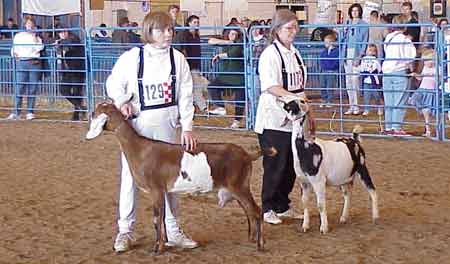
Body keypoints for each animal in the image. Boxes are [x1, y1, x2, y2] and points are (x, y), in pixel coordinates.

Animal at [86, 101, 266, 254]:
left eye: (96, 112)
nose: (89, 113)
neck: (139, 149)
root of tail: (247, 155)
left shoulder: (156, 190)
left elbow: (156, 219)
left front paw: (157, 248)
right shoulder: (164, 190)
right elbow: (163, 217)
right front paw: (165, 243)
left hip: (240, 186)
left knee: (256, 211)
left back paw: (260, 244)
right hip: (236, 188)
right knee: (249, 211)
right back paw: (251, 238)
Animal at [282, 97, 380, 233]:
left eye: (292, 104)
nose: (282, 102)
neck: (306, 148)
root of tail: (354, 140)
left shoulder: (318, 181)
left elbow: (321, 205)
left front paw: (324, 228)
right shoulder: (304, 182)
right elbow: (305, 203)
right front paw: (305, 226)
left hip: (362, 168)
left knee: (372, 191)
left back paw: (375, 217)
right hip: (345, 178)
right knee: (347, 195)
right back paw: (343, 218)